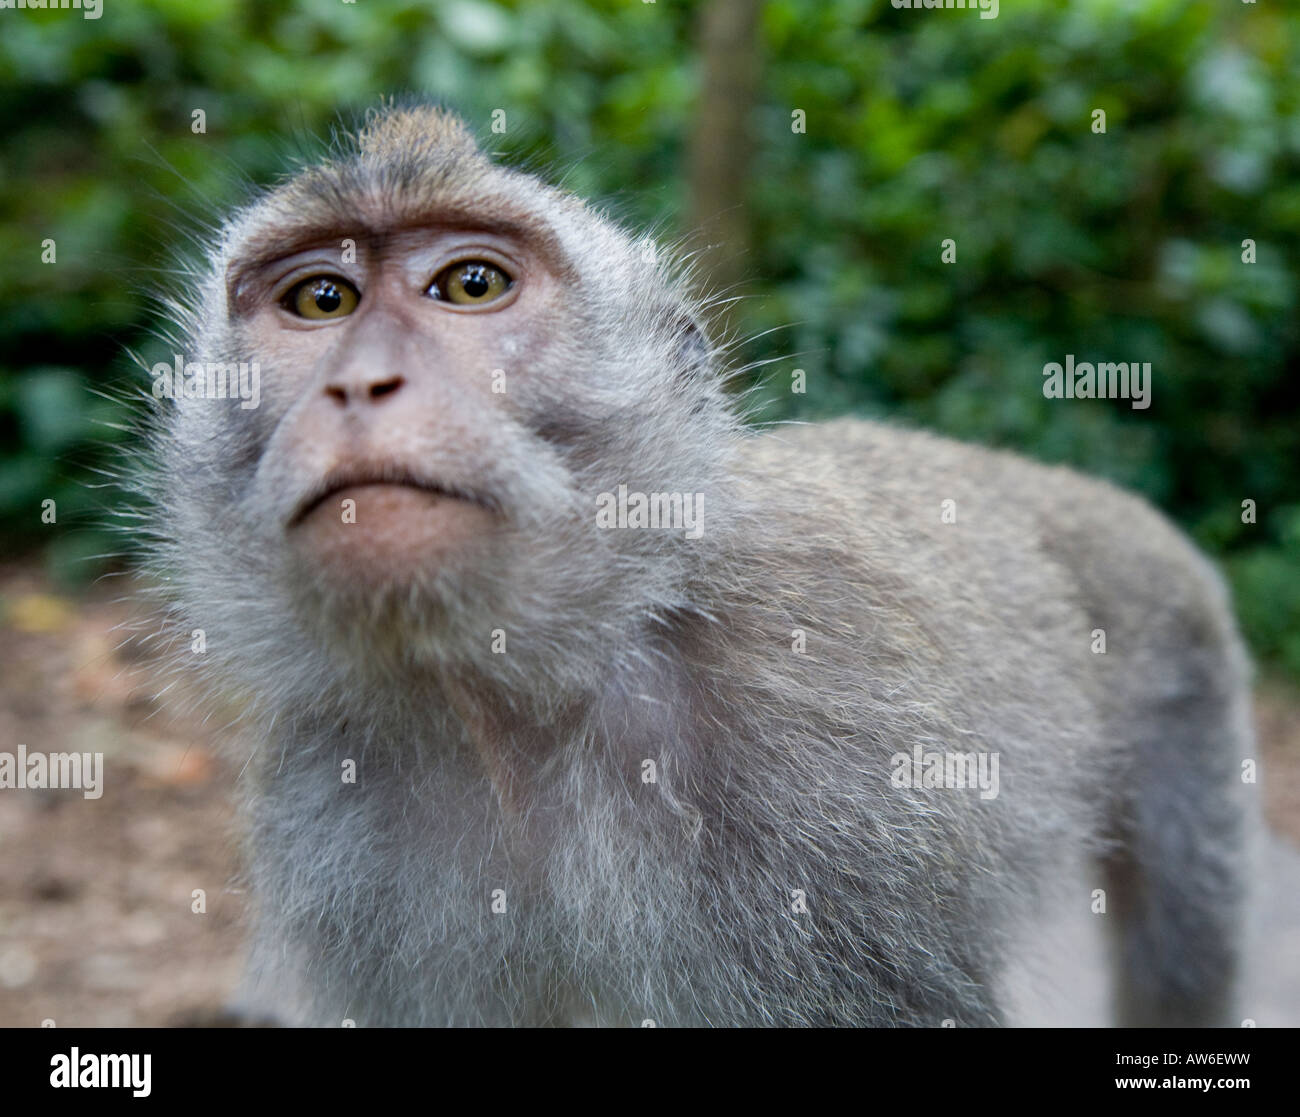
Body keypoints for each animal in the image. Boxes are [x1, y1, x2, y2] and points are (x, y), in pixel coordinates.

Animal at [138, 104, 1257, 1027]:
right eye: (322, 300)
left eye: (471, 284)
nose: (362, 383)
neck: (524, 694)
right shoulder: (330, 802)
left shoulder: (833, 784)